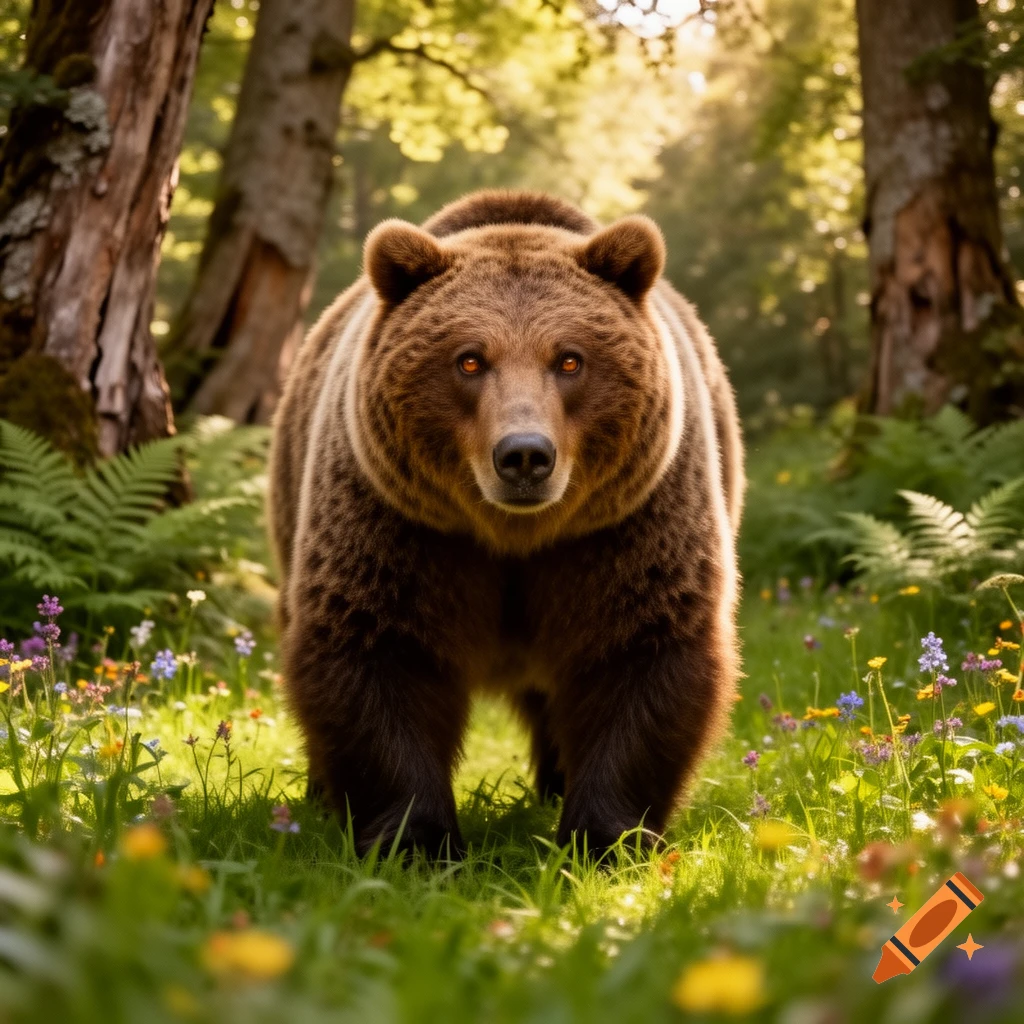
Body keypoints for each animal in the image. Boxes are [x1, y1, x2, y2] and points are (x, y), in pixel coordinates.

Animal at [269, 190, 744, 857]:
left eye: (569, 359)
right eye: (470, 360)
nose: (524, 454)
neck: (514, 535)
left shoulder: (626, 526)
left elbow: (641, 650)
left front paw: (604, 838)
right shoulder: (401, 525)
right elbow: (379, 649)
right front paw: (416, 839)